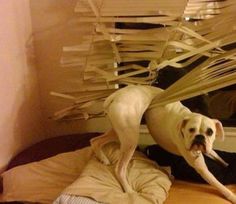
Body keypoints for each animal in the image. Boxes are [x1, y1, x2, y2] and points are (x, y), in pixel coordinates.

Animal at [90, 85, 236, 203]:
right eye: (191, 130)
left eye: (210, 132)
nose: (199, 137)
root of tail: (114, 96)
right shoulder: (201, 167)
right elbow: (218, 184)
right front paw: (231, 196)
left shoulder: (208, 150)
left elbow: (217, 155)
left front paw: (226, 164)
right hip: (130, 139)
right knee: (119, 169)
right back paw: (129, 191)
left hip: (119, 132)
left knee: (95, 141)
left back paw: (103, 158)